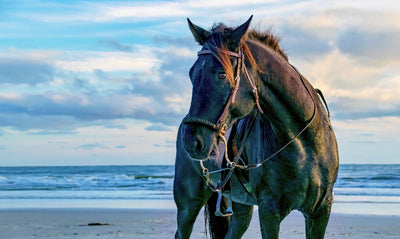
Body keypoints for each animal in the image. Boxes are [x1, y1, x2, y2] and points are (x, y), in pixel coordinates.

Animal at [174, 15, 338, 238]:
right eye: (192, 74)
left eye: (221, 75)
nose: (192, 141)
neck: (303, 143)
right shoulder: (269, 211)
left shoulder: (320, 211)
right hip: (188, 205)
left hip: (241, 208)